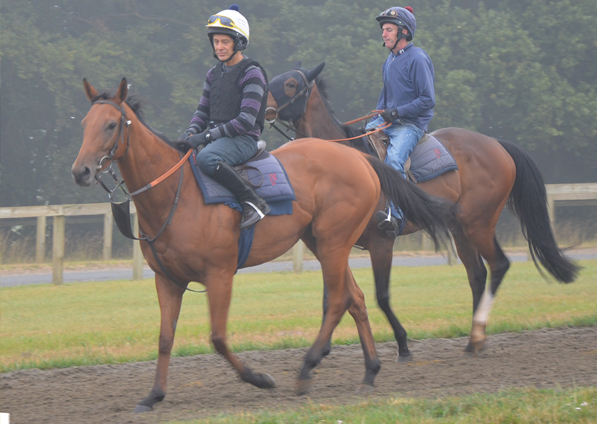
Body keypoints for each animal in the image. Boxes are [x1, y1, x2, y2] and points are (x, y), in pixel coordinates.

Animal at [70, 78, 452, 412]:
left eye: (111, 125)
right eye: (86, 123)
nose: (80, 171)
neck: (176, 195)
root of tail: (359, 158)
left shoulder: (219, 275)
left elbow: (218, 338)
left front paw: (259, 378)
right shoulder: (168, 280)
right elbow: (165, 339)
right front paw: (153, 395)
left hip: (334, 242)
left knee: (338, 300)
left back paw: (307, 368)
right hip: (323, 242)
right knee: (354, 297)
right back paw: (369, 370)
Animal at [264, 63, 576, 362]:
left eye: (290, 84)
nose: (264, 108)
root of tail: (497, 144)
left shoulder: (381, 242)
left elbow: (382, 295)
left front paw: (402, 344)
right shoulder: (333, 244)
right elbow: (332, 295)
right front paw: (324, 348)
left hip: (479, 224)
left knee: (499, 265)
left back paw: (477, 334)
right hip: (459, 228)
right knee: (477, 274)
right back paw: (473, 341)